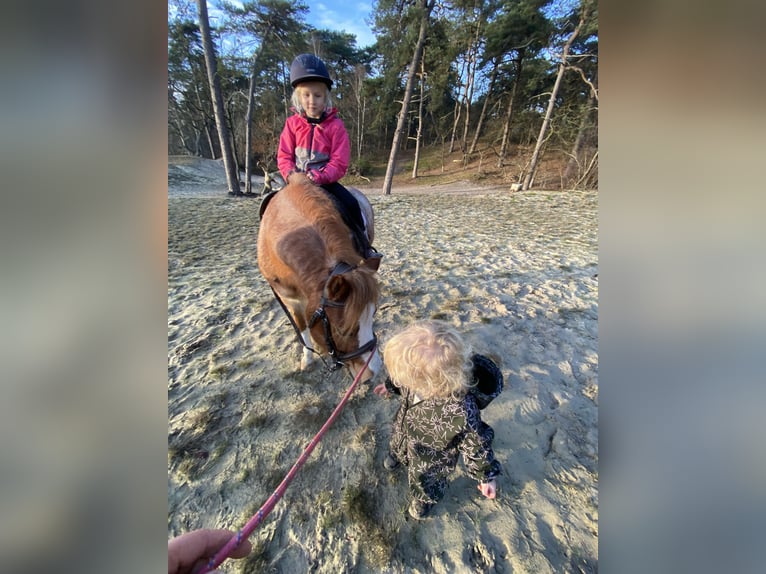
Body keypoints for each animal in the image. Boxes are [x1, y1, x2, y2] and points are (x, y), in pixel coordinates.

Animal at [257, 177, 382, 382]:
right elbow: (303, 327)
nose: (372, 373)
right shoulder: (290, 300)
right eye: (342, 330)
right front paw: (307, 358)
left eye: (373, 315)